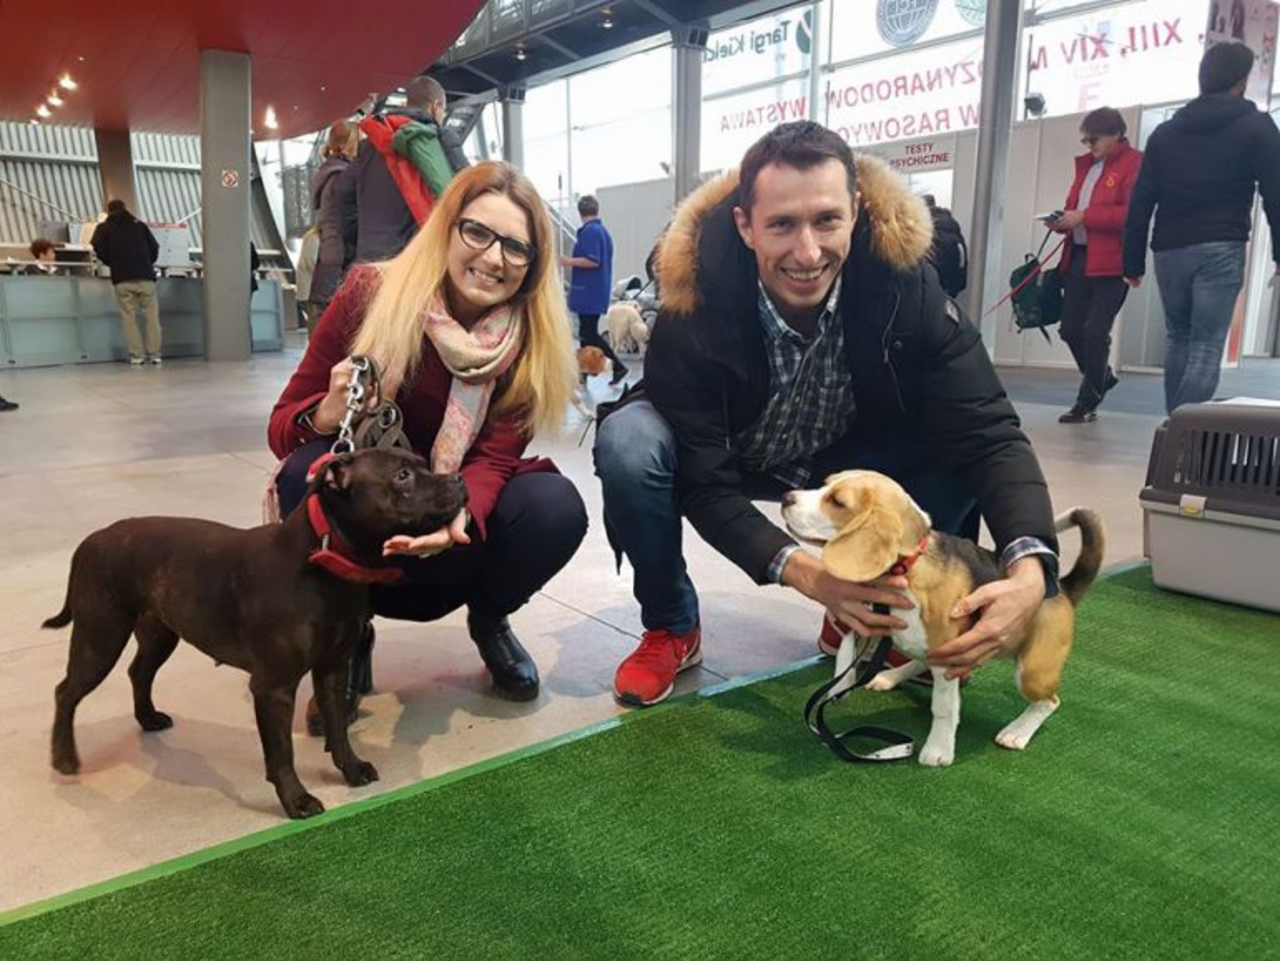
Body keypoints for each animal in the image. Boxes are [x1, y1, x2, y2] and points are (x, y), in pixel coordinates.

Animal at [45, 448, 468, 818]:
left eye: (423, 464)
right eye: (402, 475)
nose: (459, 478)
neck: (323, 563)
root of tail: (92, 539)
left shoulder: (332, 669)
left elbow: (337, 729)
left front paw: (351, 769)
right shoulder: (273, 687)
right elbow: (281, 753)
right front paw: (296, 801)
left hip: (160, 632)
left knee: (139, 672)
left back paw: (147, 719)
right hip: (100, 638)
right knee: (66, 691)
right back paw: (64, 757)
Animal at [781, 470, 1104, 767]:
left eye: (837, 501)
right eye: (824, 483)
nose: (787, 498)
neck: (906, 568)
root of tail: (1061, 587)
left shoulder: (949, 659)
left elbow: (944, 709)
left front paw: (938, 750)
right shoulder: (861, 614)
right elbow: (846, 649)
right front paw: (840, 685)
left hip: (1032, 671)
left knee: (1049, 702)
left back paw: (1018, 732)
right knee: (920, 659)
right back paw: (890, 676)